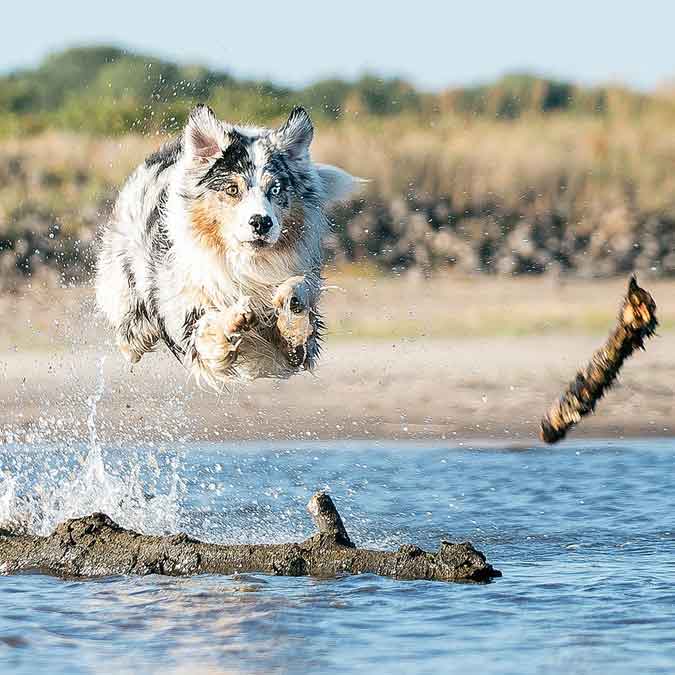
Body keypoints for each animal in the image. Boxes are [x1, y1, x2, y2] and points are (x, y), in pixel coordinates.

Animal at [96, 107, 360, 388]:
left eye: (275, 189)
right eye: (232, 189)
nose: (261, 222)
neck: (245, 263)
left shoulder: (299, 350)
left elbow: (299, 298)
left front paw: (291, 300)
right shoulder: (189, 322)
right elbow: (208, 327)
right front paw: (234, 318)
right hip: (130, 305)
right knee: (131, 339)